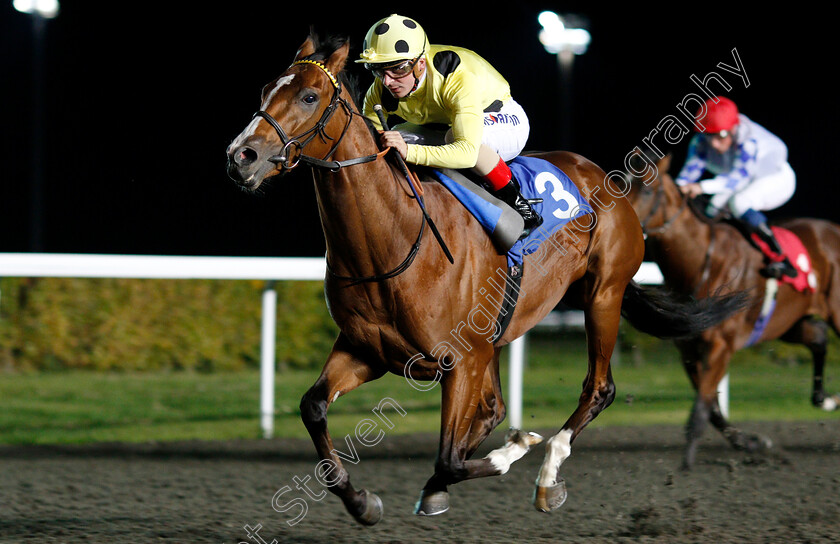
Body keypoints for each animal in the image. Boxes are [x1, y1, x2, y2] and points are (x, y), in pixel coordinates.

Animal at [225, 33, 748, 524]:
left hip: (603, 294)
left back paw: (548, 472)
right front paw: (362, 502)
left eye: (309, 96)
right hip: (500, 330)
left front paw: (515, 449)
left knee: (598, 388)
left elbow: (451, 456)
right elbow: (314, 408)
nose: (241, 155)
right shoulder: (366, 350)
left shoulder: (460, 360)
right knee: (493, 407)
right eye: (266, 89)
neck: (392, 239)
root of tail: (604, 177)